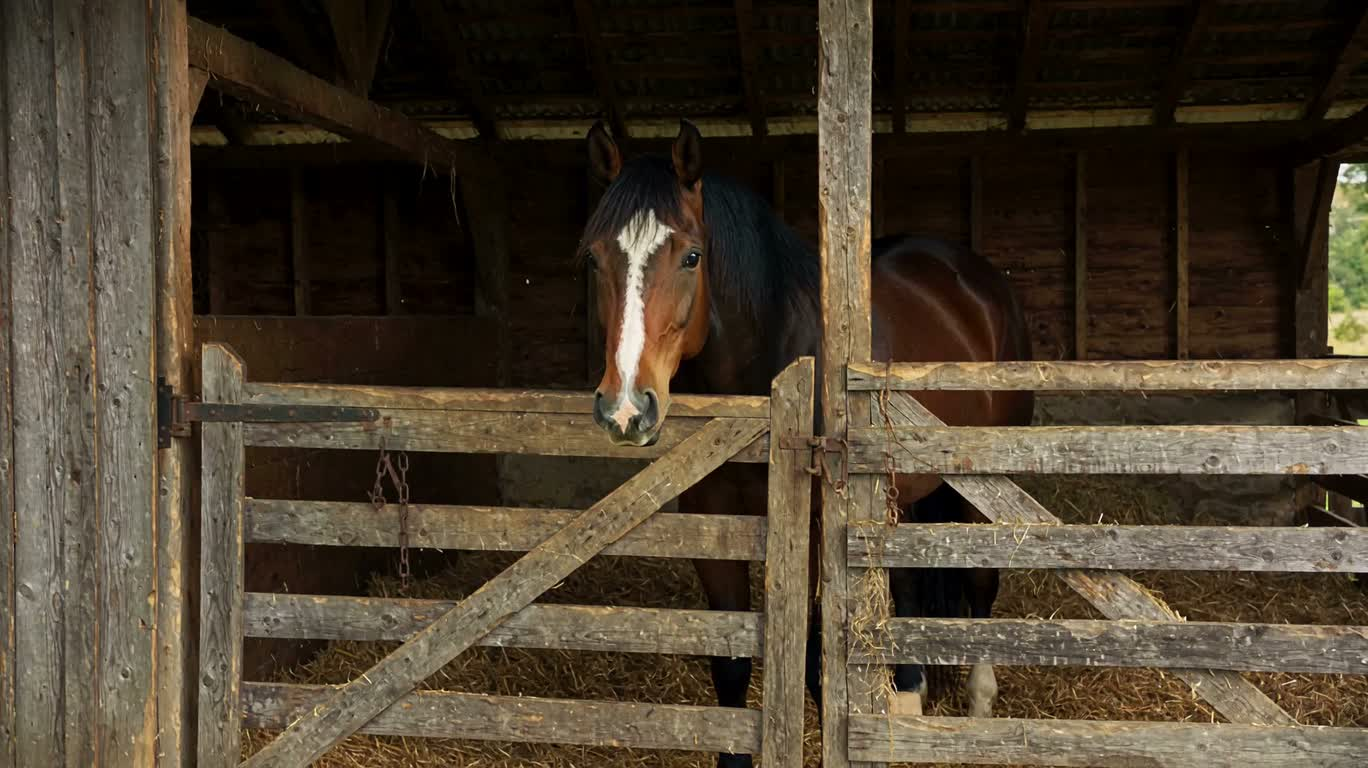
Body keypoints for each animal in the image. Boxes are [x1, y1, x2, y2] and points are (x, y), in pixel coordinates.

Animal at [578, 119, 1034, 767]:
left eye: (691, 256)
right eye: (594, 258)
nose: (625, 408)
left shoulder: (821, 529)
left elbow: (819, 665)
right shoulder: (713, 526)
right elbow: (730, 666)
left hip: (983, 481)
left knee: (981, 581)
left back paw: (979, 701)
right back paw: (909, 692)